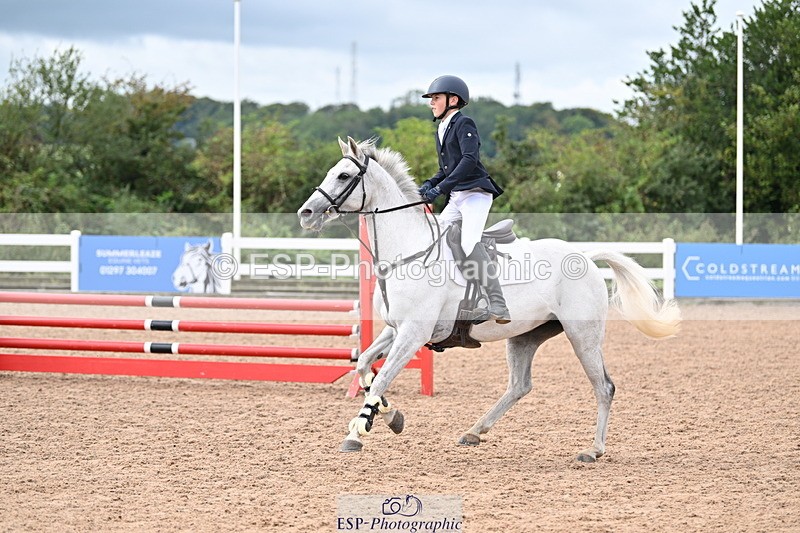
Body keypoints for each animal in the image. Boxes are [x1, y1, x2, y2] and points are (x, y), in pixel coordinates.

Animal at [298, 137, 680, 462]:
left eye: (344, 175)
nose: (306, 214)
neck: (408, 251)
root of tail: (585, 257)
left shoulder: (414, 333)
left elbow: (380, 377)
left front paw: (358, 431)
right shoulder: (395, 329)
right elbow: (365, 366)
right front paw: (391, 416)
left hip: (582, 335)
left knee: (604, 386)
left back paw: (593, 450)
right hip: (526, 336)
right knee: (520, 385)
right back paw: (474, 431)